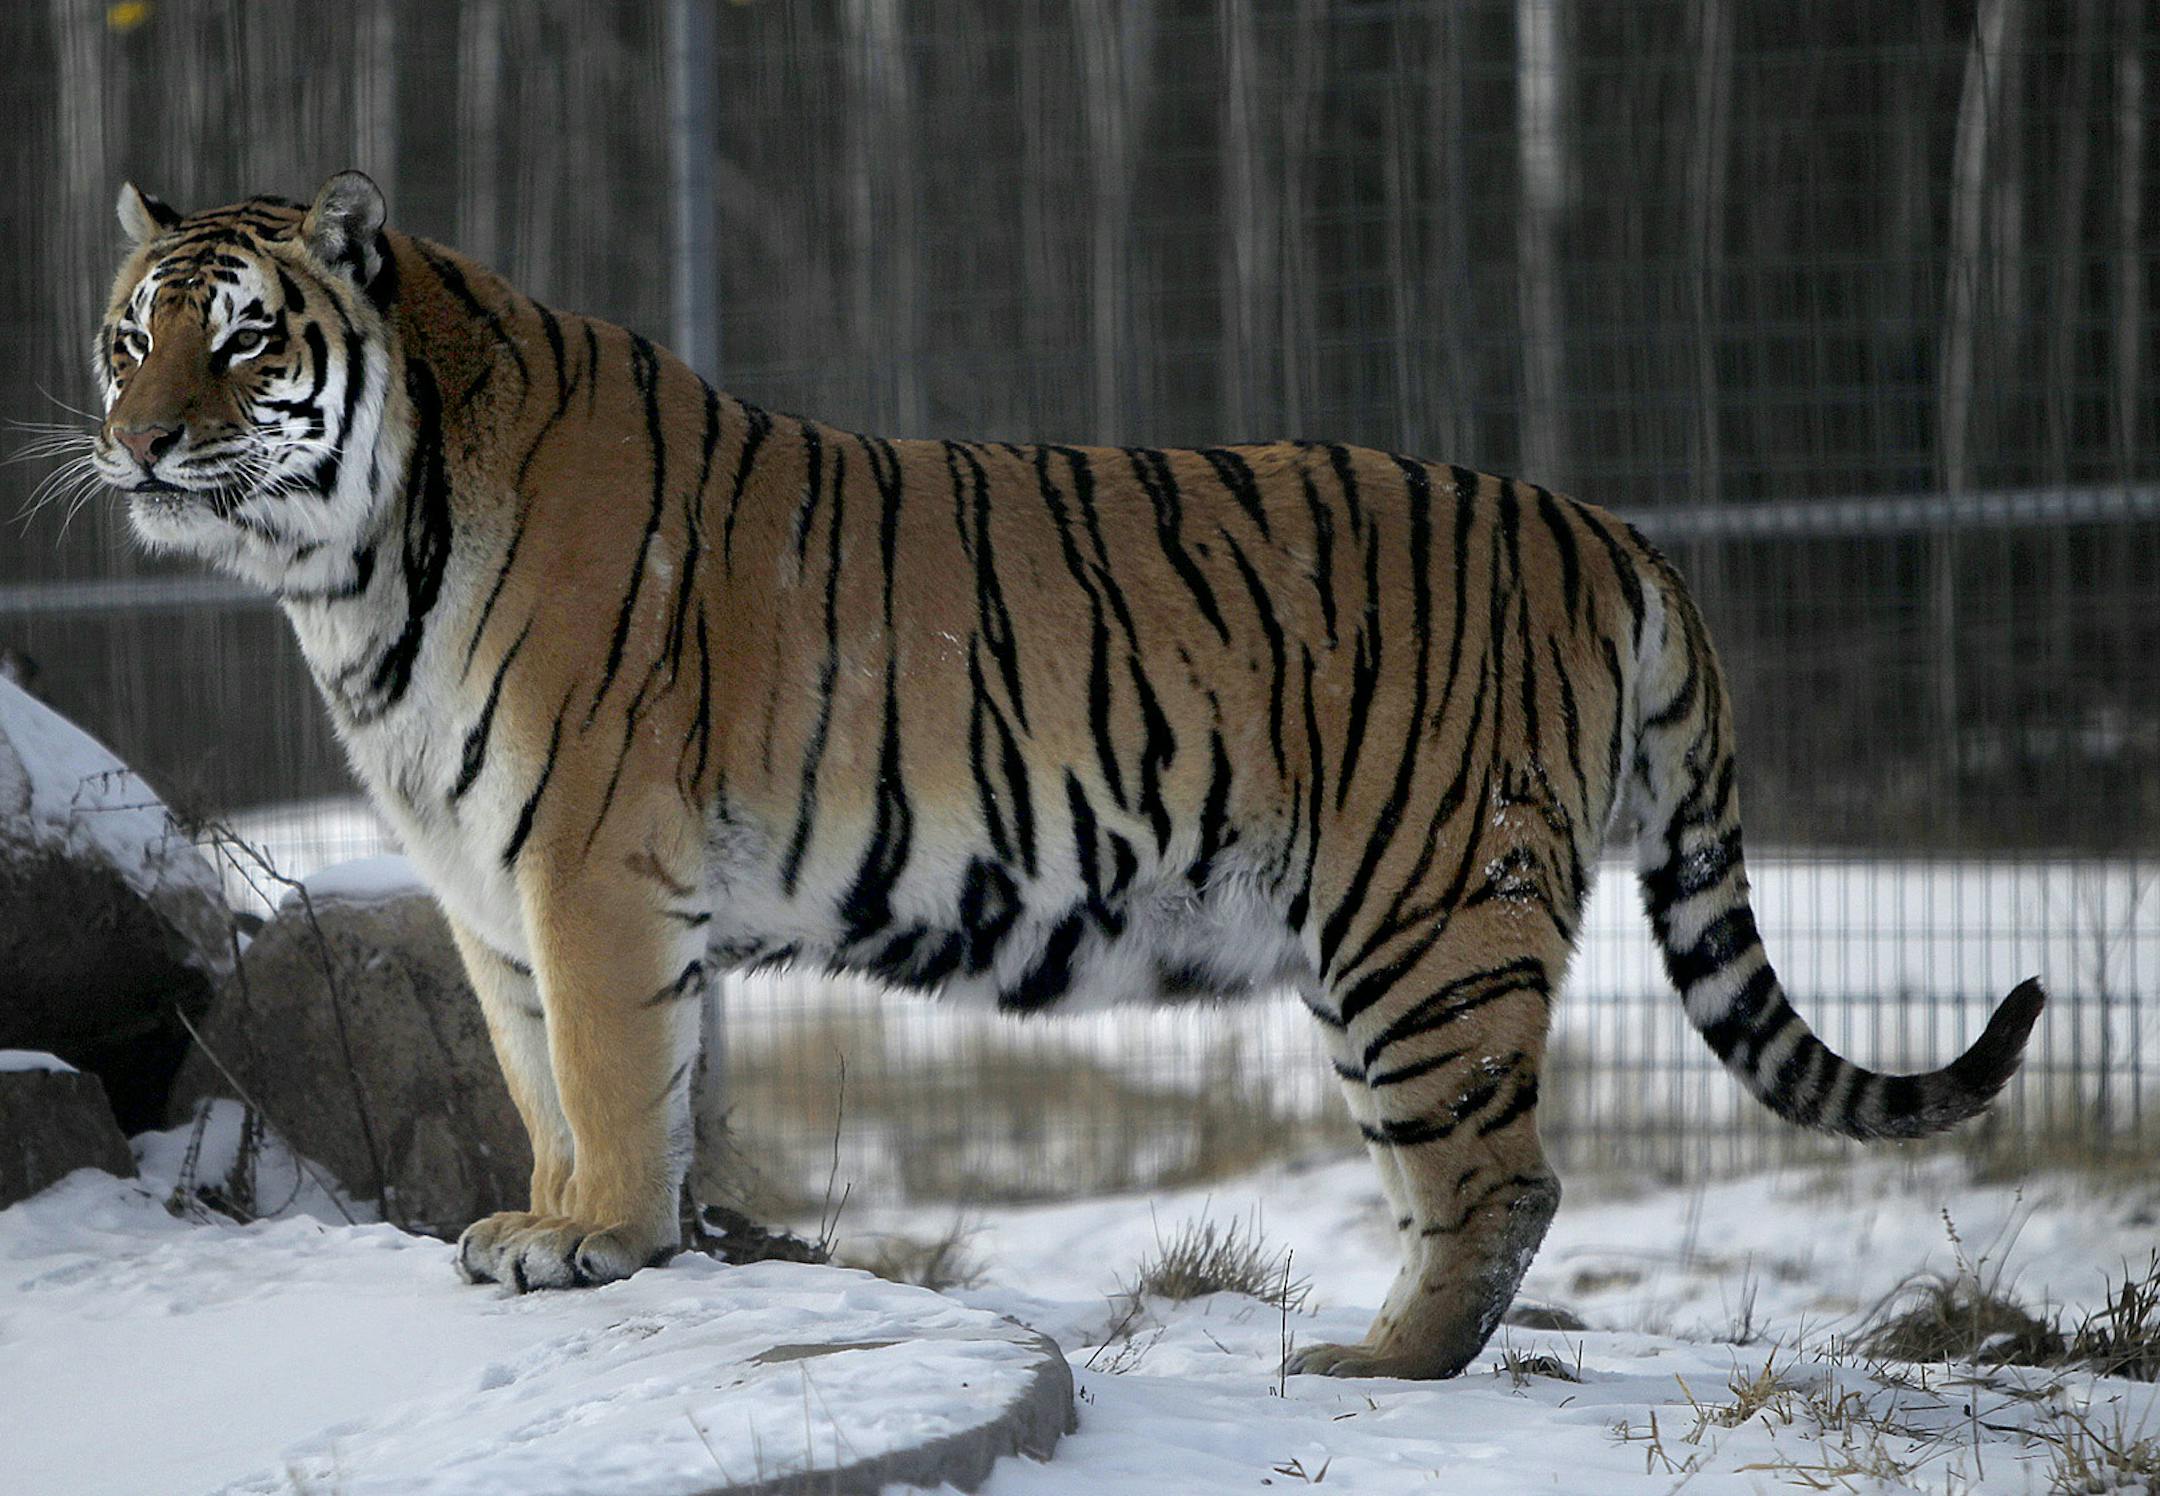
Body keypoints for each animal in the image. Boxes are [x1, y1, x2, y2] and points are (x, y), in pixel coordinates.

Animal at [89, 171, 2044, 1381]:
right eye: (129, 334)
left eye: (245, 338)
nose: (135, 443)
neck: (352, 574)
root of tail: (1608, 527)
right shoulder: (495, 889)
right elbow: (544, 1078)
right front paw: (563, 1221)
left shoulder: (590, 865)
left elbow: (614, 1076)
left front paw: (599, 1245)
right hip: (1392, 949)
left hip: (1427, 929)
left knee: (1504, 1185)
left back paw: (1376, 1367)